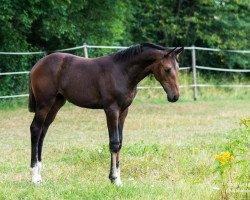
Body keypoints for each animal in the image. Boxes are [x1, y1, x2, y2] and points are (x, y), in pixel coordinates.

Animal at [28, 43, 184, 186]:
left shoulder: (123, 111)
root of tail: (38, 65)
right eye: (167, 69)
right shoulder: (111, 109)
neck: (122, 72)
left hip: (56, 103)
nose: (175, 96)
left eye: (177, 69)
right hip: (44, 103)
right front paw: (115, 179)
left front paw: (116, 178)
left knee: (43, 131)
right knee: (35, 129)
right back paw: (34, 177)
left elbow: (120, 142)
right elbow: (114, 143)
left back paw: (40, 174)